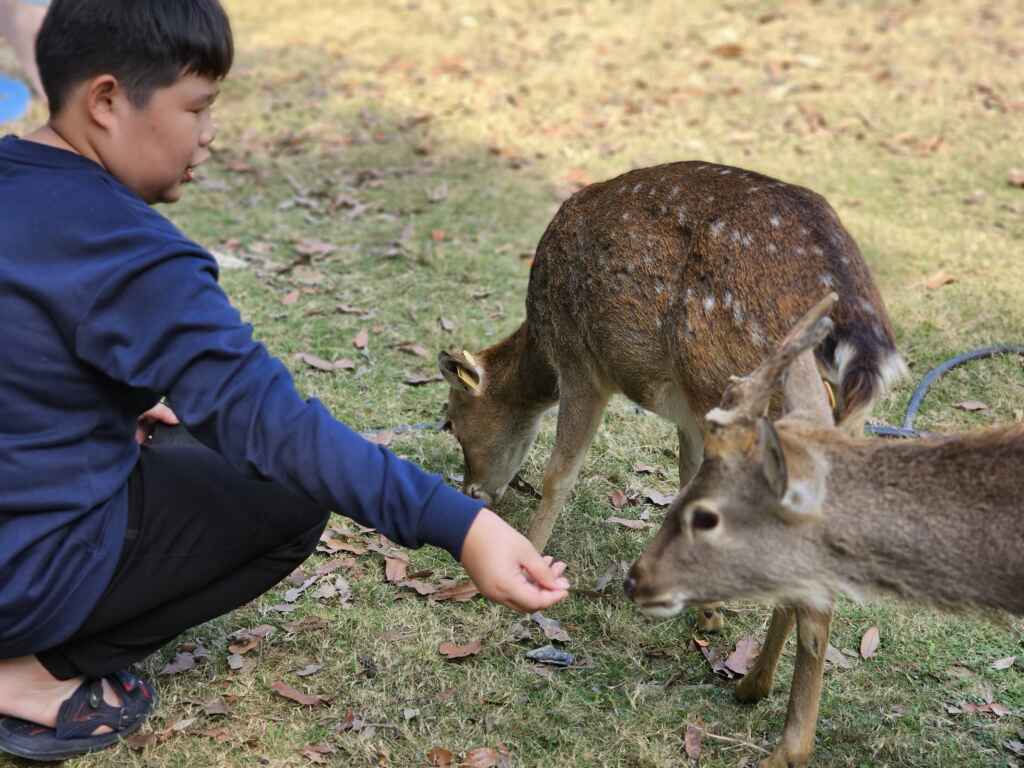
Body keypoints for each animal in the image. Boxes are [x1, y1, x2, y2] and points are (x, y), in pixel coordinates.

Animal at [438, 160, 905, 630]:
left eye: (452, 423)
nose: (471, 491)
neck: (543, 344)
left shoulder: (580, 365)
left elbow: (560, 473)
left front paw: (527, 563)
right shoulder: (685, 411)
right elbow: (687, 480)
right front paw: (708, 612)